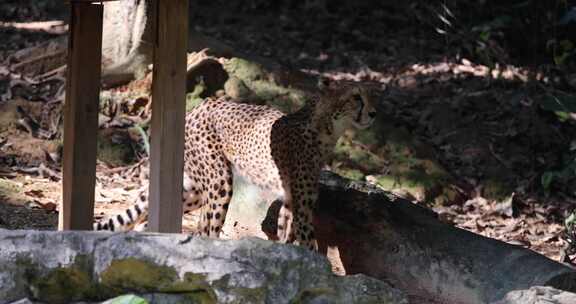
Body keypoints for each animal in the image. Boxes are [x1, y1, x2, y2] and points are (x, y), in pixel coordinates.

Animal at [95, 79, 378, 251]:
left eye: (367, 95)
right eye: (356, 97)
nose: (374, 113)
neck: (325, 127)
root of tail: (200, 105)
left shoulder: (290, 201)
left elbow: (287, 237)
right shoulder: (302, 205)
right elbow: (309, 243)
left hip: (193, 189)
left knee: (153, 221)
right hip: (219, 183)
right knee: (207, 228)